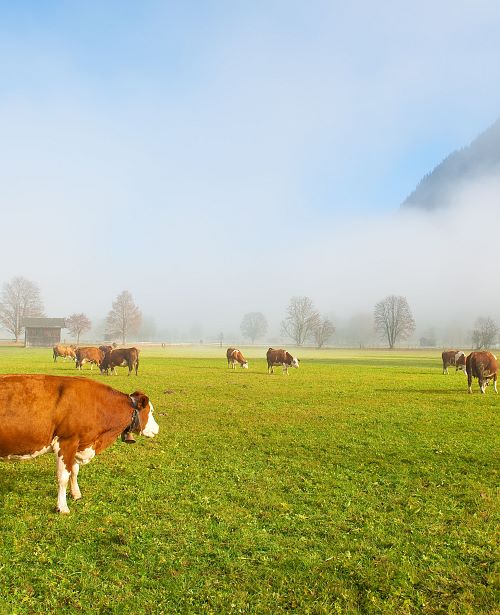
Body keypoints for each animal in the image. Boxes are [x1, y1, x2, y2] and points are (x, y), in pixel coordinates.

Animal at [0, 376, 159, 516]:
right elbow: (63, 477)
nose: (157, 429)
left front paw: (76, 494)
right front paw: (62, 507)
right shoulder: (66, 442)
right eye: (151, 411)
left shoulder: (78, 444)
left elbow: (74, 471)